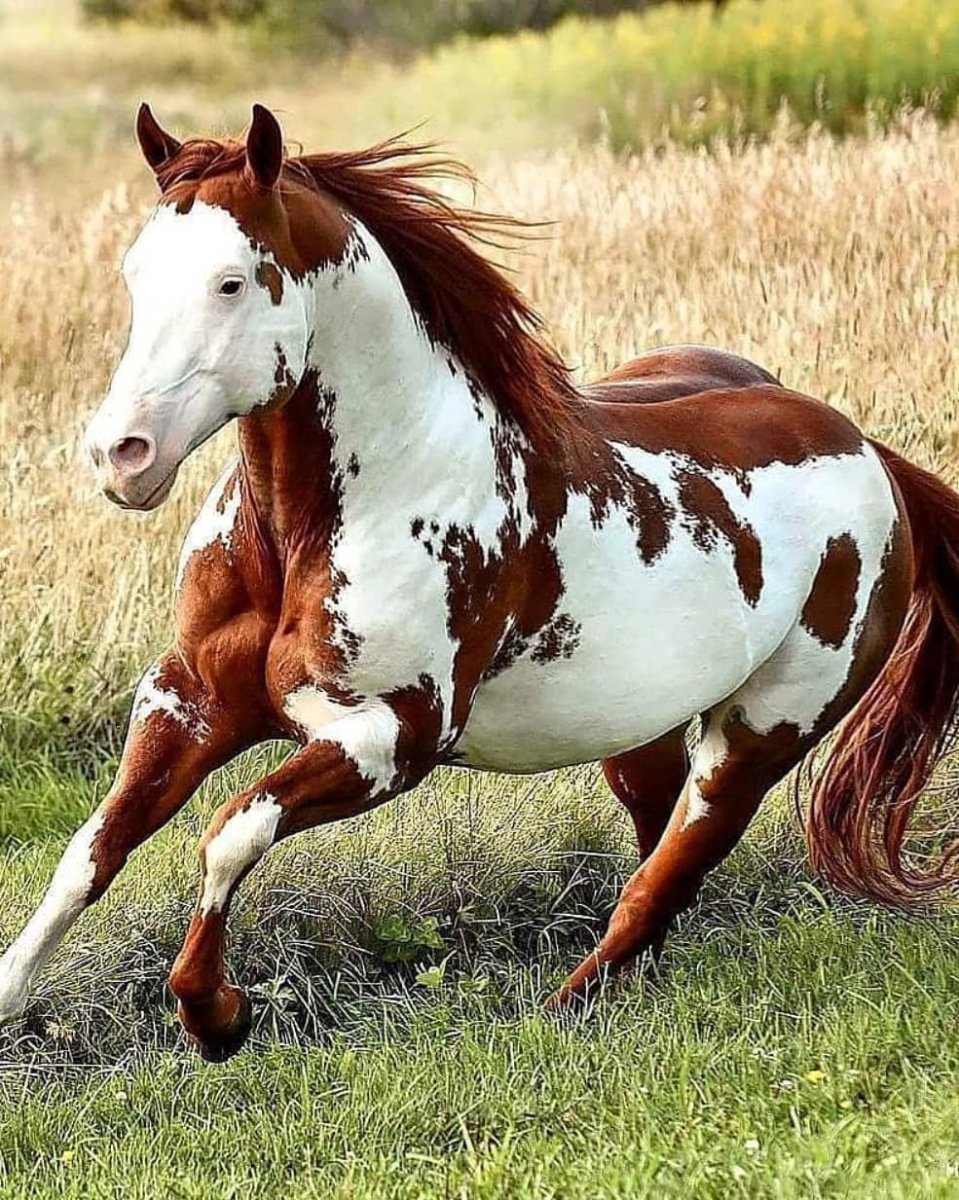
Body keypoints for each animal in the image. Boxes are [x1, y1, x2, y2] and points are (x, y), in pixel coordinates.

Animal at [1, 103, 956, 1061]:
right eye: (134, 274)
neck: (311, 529)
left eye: (231, 283)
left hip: (763, 730)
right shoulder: (188, 699)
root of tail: (868, 454)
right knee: (655, 849)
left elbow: (231, 832)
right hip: (638, 732)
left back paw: (564, 1011)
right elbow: (92, 853)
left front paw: (216, 1016)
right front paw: (13, 997)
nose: (121, 455)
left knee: (670, 872)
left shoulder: (392, 738)